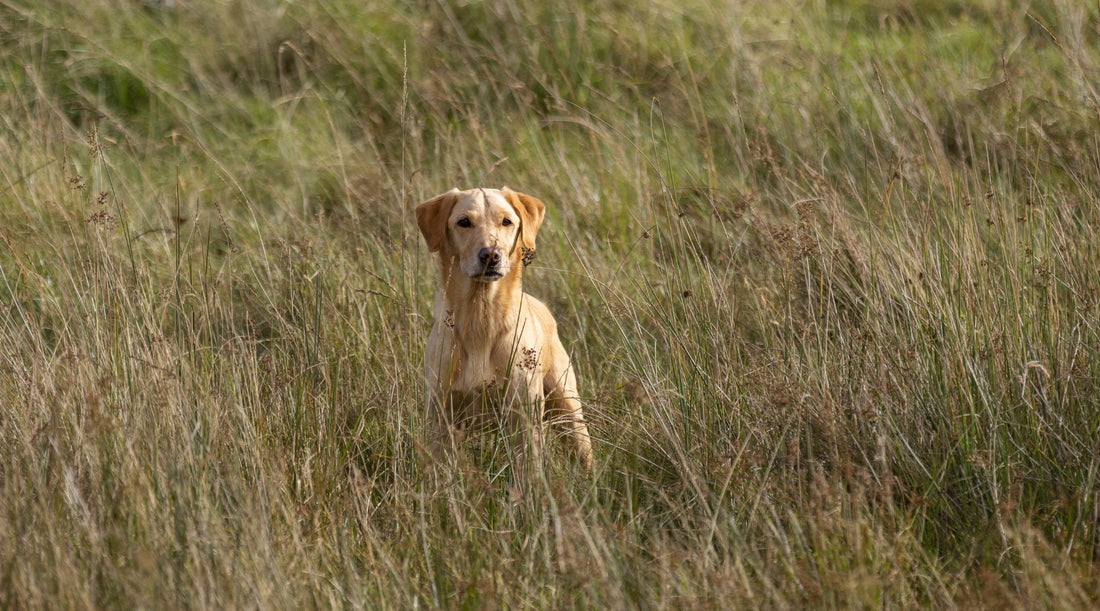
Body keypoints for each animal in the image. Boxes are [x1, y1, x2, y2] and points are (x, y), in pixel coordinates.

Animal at [413, 187, 594, 477]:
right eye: (464, 222)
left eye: (506, 221)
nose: (491, 255)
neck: (481, 317)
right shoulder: (443, 415)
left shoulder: (524, 415)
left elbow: (528, 471)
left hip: (567, 404)